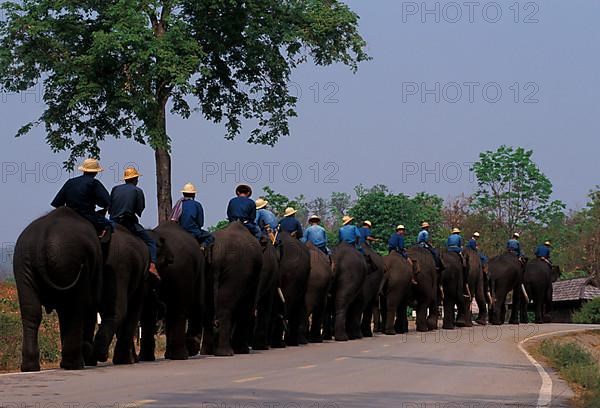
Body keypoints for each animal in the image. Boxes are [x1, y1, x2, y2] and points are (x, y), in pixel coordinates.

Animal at [13, 209, 102, 372]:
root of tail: (42, 239)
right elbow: (91, 304)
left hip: (23, 262)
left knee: (31, 312)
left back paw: (29, 367)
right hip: (70, 261)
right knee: (76, 309)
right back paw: (74, 364)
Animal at [202, 222, 262, 356]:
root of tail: (218, 251)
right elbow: (247, 305)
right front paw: (243, 350)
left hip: (209, 271)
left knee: (209, 308)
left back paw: (207, 352)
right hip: (236, 271)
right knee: (226, 307)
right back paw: (226, 353)